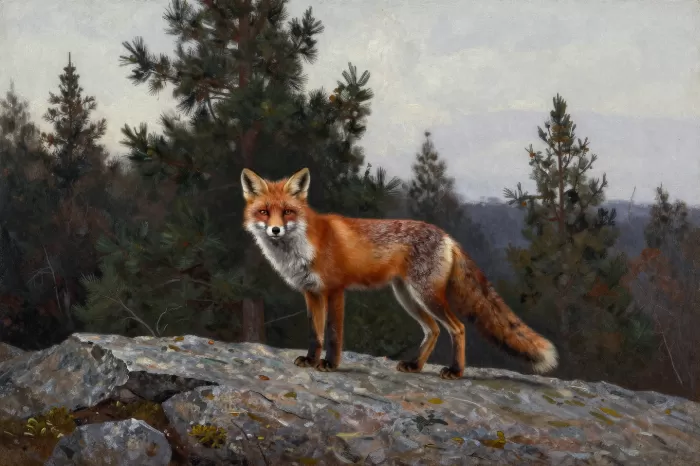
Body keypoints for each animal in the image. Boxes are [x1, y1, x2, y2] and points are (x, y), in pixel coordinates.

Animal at [240, 167, 558, 379]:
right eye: (264, 212)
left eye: (288, 212)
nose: (275, 230)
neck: (301, 249)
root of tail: (447, 236)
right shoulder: (311, 292)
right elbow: (314, 334)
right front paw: (310, 359)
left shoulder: (335, 290)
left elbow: (331, 334)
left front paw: (330, 364)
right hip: (407, 297)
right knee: (433, 330)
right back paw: (415, 366)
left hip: (426, 295)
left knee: (457, 328)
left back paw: (455, 371)